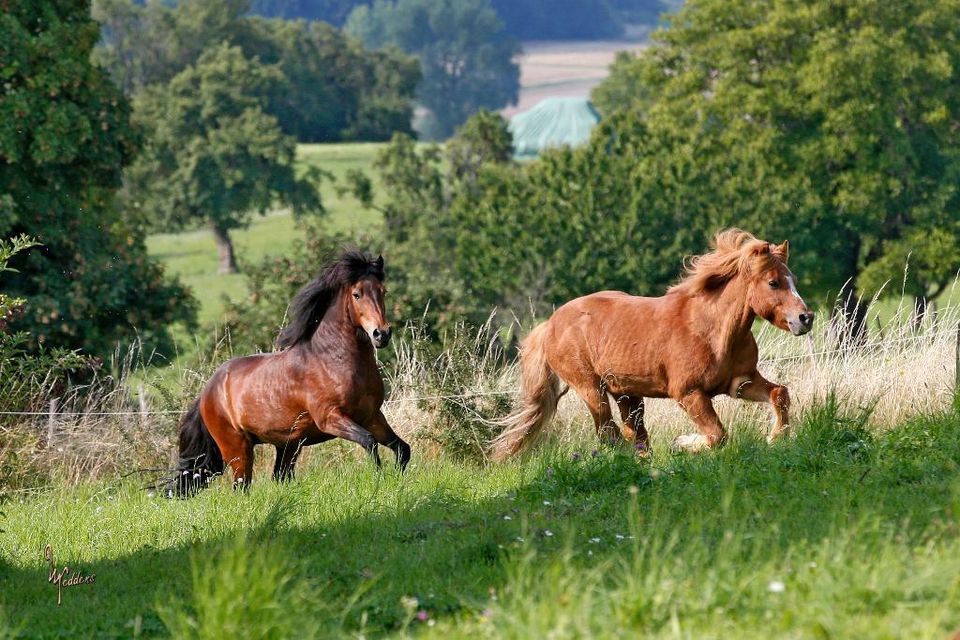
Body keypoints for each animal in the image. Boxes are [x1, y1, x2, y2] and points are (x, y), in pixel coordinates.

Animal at [172, 249, 408, 496]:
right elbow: (369, 442)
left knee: (279, 476)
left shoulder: (372, 416)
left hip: (288, 445)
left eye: (383, 291)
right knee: (242, 486)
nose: (381, 334)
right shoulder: (330, 418)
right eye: (357, 294)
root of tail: (206, 392)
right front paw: (379, 481)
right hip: (237, 448)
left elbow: (402, 449)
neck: (333, 360)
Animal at [492, 230, 812, 460]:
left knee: (634, 435)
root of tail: (549, 325)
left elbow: (779, 394)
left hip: (627, 394)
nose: (805, 318)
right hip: (591, 389)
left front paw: (774, 437)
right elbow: (717, 435)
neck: (711, 330)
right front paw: (680, 443)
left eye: (793, 279)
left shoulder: (740, 383)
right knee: (610, 433)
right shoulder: (689, 393)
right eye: (773, 283)